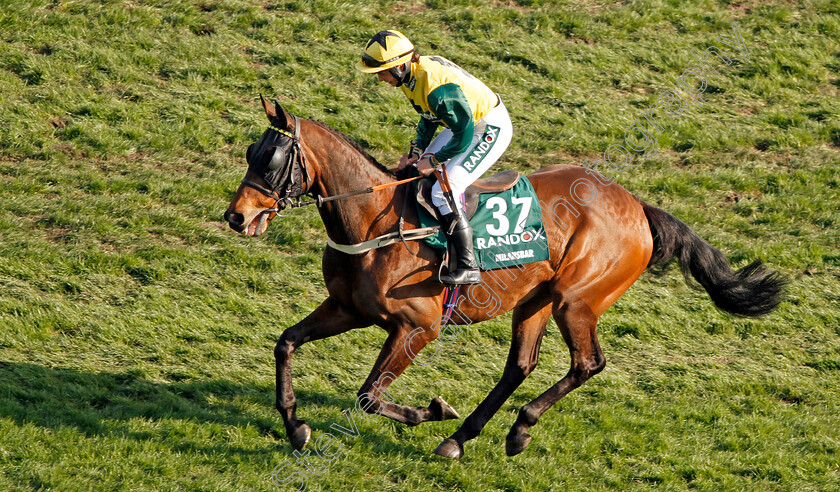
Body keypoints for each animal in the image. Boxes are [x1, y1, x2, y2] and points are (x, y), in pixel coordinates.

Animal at [223, 98, 788, 460]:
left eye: (271, 159)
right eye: (251, 152)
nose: (236, 216)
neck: (375, 222)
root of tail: (638, 207)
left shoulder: (417, 327)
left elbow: (367, 397)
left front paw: (433, 409)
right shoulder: (348, 308)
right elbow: (285, 343)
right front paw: (296, 427)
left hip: (575, 301)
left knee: (587, 363)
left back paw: (516, 430)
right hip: (535, 300)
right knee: (521, 365)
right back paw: (463, 438)